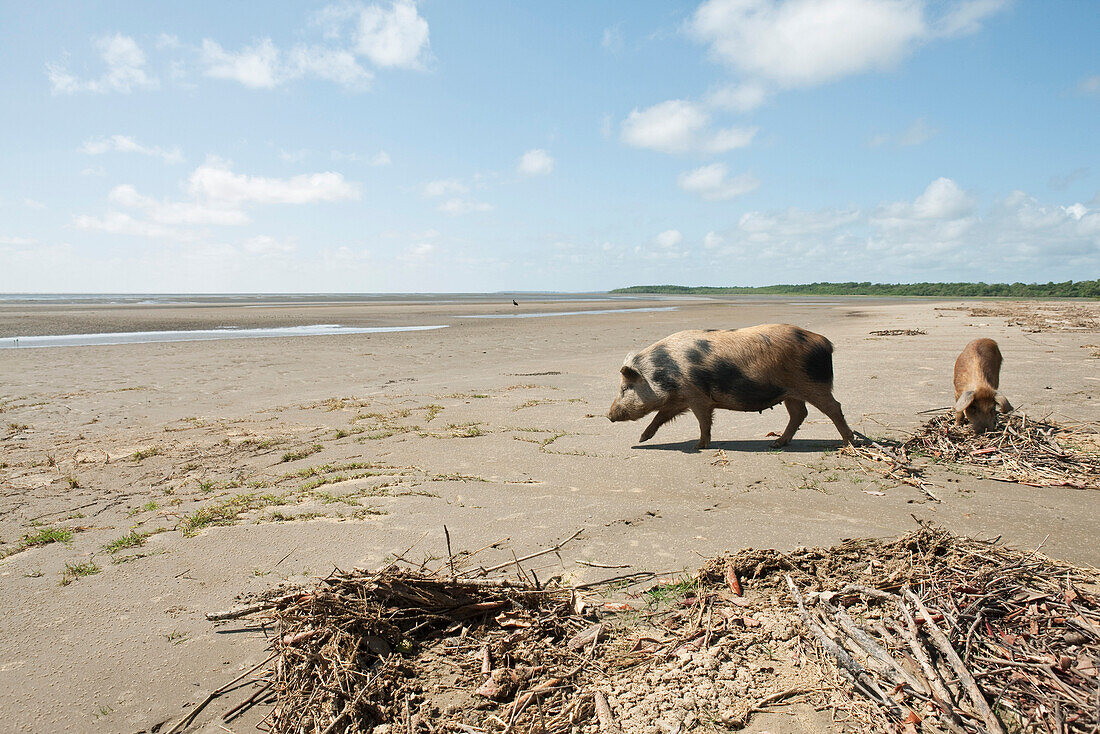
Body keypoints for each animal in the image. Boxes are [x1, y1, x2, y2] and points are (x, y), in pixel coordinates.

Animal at [607, 323, 853, 451]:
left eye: (624, 389)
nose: (609, 415)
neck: (663, 372)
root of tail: (825, 343)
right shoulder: (680, 399)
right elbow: (661, 416)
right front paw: (642, 438)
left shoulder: (697, 396)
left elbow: (703, 421)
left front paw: (699, 446)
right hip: (790, 392)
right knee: (799, 413)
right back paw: (776, 443)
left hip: (812, 384)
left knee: (834, 408)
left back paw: (848, 442)